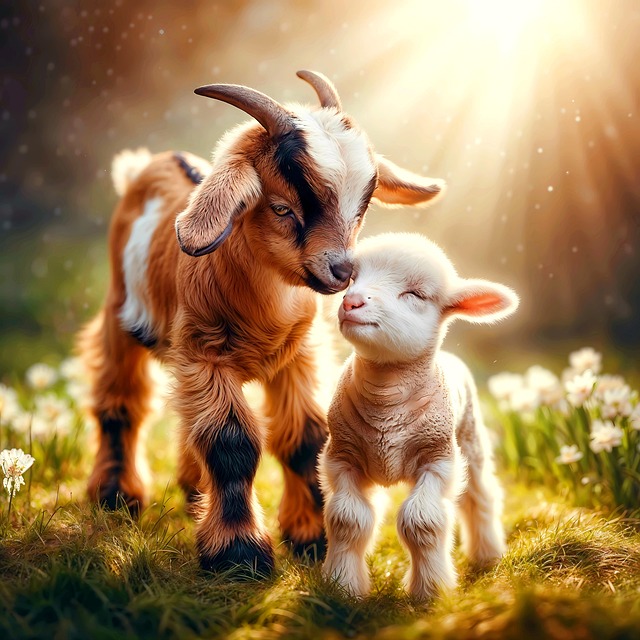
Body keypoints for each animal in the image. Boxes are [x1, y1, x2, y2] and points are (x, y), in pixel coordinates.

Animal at [80, 71, 446, 575]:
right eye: (282, 208)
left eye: (363, 207)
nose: (341, 271)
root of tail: (142, 169)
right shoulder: (205, 353)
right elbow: (230, 441)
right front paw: (238, 553)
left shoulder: (297, 355)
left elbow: (305, 437)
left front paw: (311, 537)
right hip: (121, 311)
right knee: (121, 402)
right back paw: (116, 496)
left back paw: (191, 491)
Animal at [321, 232, 518, 599]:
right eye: (353, 279)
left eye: (415, 294)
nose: (351, 302)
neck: (385, 400)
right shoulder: (341, 456)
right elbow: (348, 520)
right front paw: (342, 586)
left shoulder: (438, 459)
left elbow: (421, 521)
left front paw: (431, 590)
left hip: (470, 440)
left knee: (480, 496)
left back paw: (488, 554)